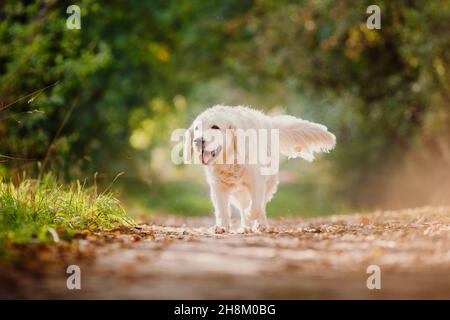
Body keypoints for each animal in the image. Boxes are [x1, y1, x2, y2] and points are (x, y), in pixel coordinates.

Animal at [183, 105, 334, 232]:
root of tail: (269, 121)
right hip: (239, 193)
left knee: (260, 205)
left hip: (269, 182)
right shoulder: (218, 186)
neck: (231, 160)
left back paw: (260, 224)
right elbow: (222, 209)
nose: (197, 141)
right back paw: (245, 227)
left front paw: (251, 216)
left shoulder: (257, 182)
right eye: (196, 128)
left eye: (215, 127)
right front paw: (222, 227)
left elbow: (255, 206)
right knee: (243, 206)